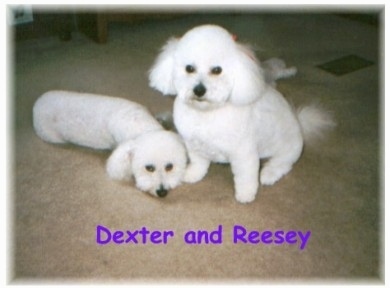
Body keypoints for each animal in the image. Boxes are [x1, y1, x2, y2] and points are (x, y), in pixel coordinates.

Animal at [32, 90, 187, 198]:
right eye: (149, 168)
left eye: (169, 167)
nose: (162, 192)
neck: (142, 125)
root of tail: (38, 103)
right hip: (51, 136)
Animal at [149, 25, 336, 205]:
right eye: (189, 68)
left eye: (217, 70)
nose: (199, 90)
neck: (208, 112)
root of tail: (299, 123)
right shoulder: (194, 145)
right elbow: (199, 164)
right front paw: (193, 175)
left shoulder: (244, 154)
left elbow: (246, 178)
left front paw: (246, 195)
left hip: (289, 149)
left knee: (282, 163)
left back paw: (268, 175)